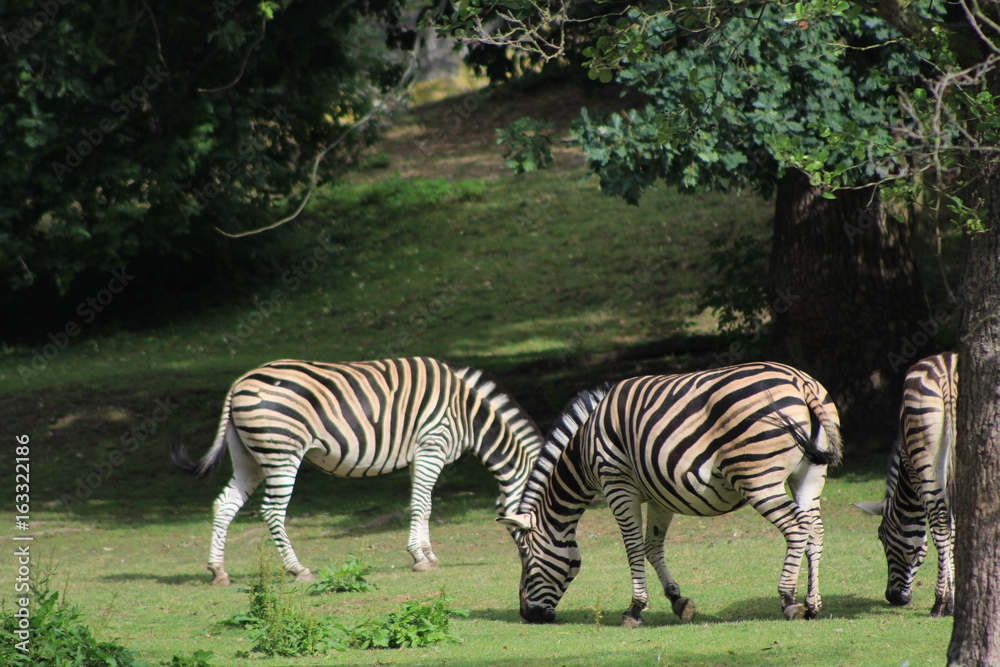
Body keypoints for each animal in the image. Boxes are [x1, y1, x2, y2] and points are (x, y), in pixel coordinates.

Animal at [175, 354, 544, 584]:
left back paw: (218, 571)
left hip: (249, 456)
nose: (526, 562)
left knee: (225, 505)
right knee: (272, 511)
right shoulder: (431, 447)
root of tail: (239, 383)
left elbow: (424, 505)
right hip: (282, 451)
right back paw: (298, 569)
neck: (466, 412)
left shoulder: (420, 455)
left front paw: (426, 554)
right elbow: (422, 505)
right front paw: (420, 558)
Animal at [496, 360, 840, 628]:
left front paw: (634, 610)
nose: (527, 615)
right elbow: (652, 547)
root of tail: (800, 382)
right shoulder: (662, 494)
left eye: (525, 556)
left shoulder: (617, 484)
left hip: (757, 476)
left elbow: (633, 548)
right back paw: (812, 604)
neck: (583, 450)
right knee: (815, 530)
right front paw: (679, 602)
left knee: (796, 526)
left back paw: (788, 600)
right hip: (809, 474)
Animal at [856, 352, 956, 620]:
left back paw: (939, 603)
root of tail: (946, 368)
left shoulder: (913, 470)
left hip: (924, 459)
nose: (893, 598)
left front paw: (949, 601)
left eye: (881, 537)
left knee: (939, 525)